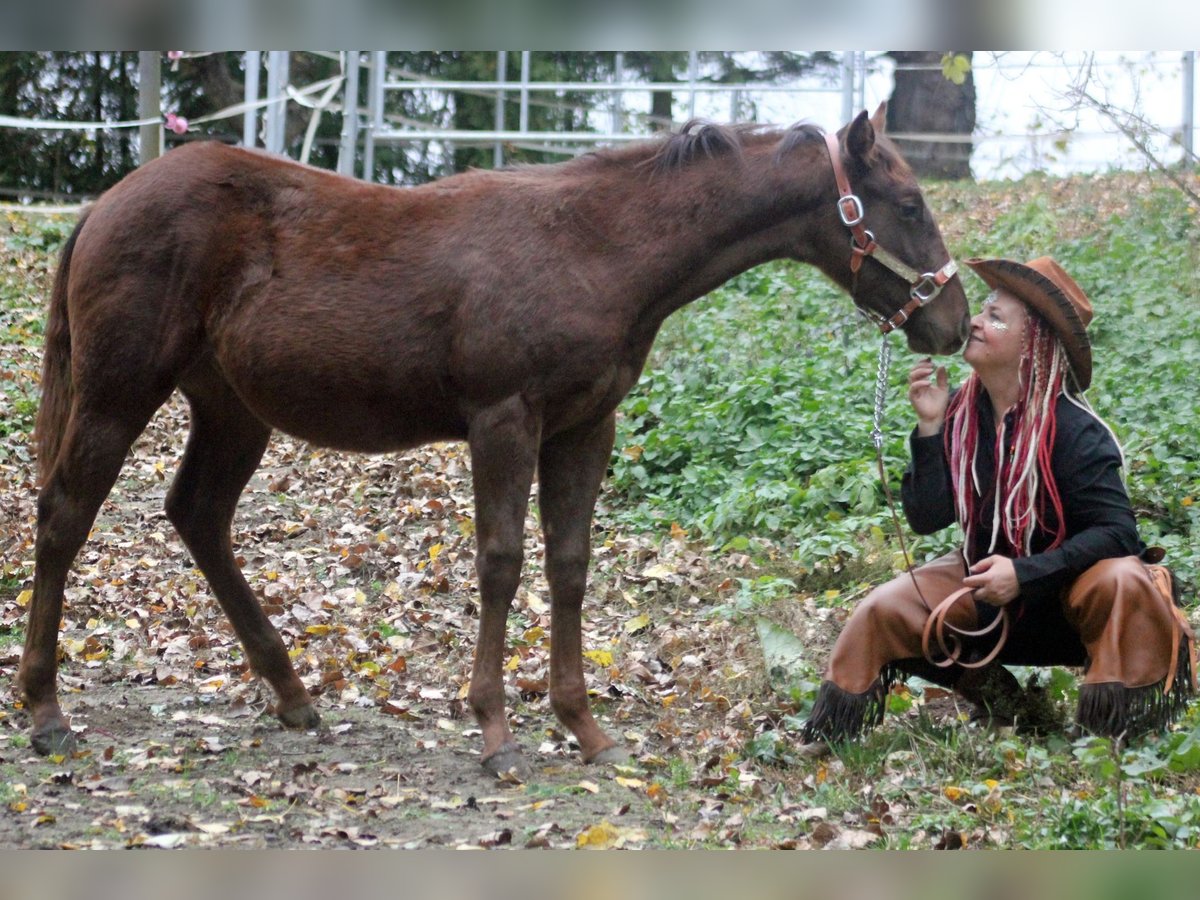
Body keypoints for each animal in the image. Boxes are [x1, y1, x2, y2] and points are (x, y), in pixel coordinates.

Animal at [20, 104, 969, 777]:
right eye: (910, 202)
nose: (952, 325)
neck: (595, 245)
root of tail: (105, 204)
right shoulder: (504, 420)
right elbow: (503, 563)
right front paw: (497, 732)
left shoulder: (585, 426)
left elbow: (569, 564)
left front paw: (586, 729)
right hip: (117, 392)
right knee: (65, 515)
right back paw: (46, 713)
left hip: (231, 412)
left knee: (199, 516)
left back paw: (291, 696)